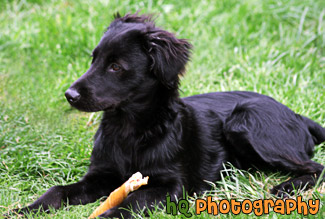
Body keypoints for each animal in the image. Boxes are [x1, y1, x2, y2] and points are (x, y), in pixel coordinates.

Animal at [16, 13, 322, 217]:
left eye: (115, 66)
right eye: (94, 59)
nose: (69, 95)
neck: (129, 130)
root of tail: (297, 115)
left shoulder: (172, 186)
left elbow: (133, 200)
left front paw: (108, 214)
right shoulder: (100, 176)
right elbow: (57, 190)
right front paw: (24, 210)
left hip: (246, 121)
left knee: (315, 167)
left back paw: (287, 188)